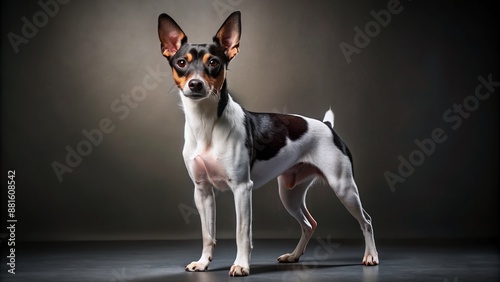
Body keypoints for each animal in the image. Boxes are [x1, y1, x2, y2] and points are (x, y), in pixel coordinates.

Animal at [158, 11, 376, 278]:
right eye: (181, 63)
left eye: (214, 63)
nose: (196, 84)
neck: (206, 124)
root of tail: (327, 127)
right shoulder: (202, 192)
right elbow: (207, 234)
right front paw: (202, 263)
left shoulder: (242, 189)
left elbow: (242, 233)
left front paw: (241, 265)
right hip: (290, 193)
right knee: (309, 224)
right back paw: (294, 256)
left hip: (343, 187)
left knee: (366, 221)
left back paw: (371, 256)